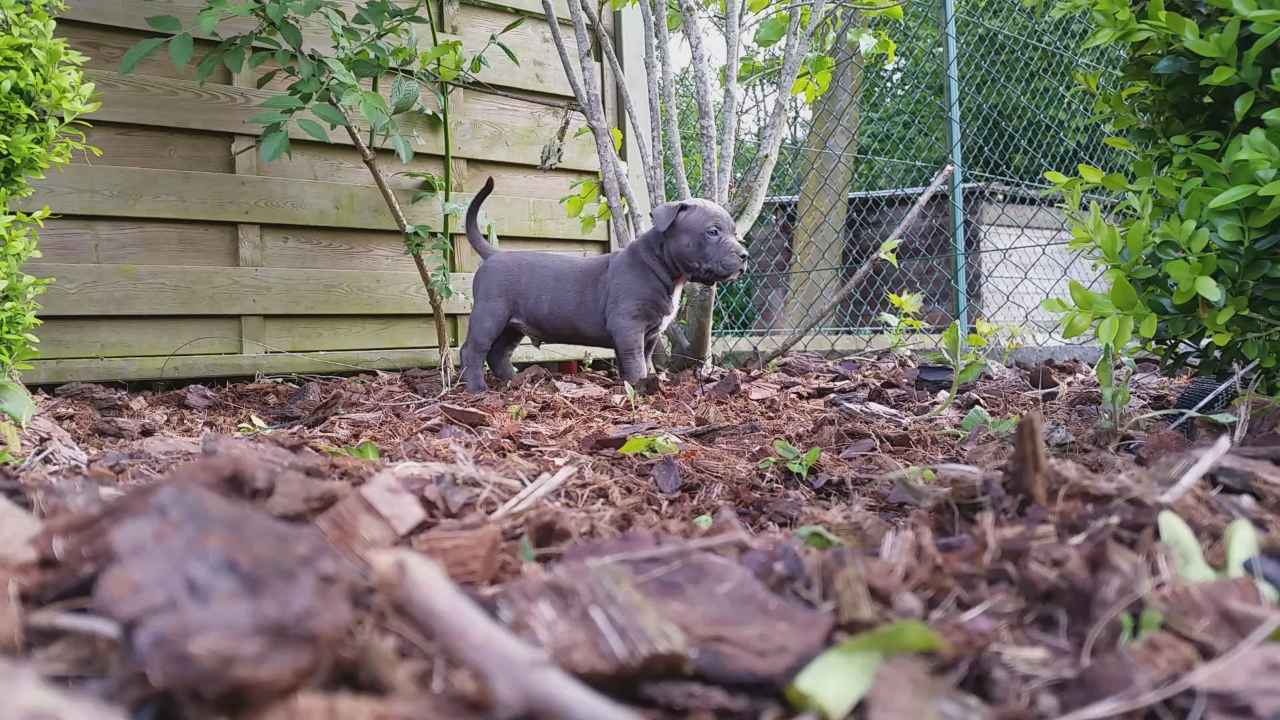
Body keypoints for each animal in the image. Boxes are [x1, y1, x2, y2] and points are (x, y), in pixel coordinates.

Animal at [460, 178, 747, 392]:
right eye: (712, 232)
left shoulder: (649, 334)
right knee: (472, 350)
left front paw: (639, 384)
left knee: (498, 354)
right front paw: (638, 387)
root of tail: (493, 255)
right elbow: (635, 362)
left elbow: (640, 361)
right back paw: (478, 390)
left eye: (735, 233)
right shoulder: (629, 326)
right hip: (490, 315)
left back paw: (514, 381)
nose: (744, 255)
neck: (662, 267)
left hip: (512, 326)